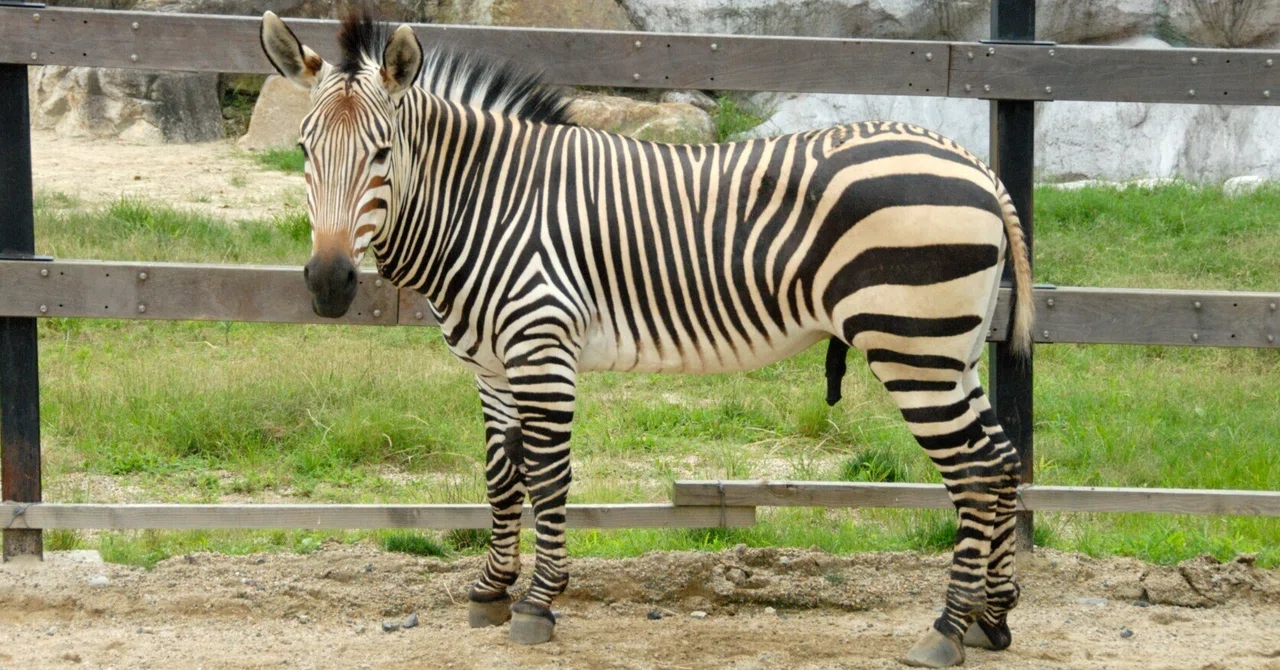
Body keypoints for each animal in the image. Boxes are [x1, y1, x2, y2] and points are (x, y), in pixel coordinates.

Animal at [260, 9, 1034, 668]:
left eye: (382, 152)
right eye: (302, 149)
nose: (328, 284)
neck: (485, 205)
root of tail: (975, 164)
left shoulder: (542, 348)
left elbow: (548, 475)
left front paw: (538, 604)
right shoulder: (492, 366)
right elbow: (502, 476)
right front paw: (490, 590)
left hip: (914, 346)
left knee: (973, 470)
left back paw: (946, 630)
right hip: (952, 348)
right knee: (1000, 460)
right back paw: (993, 618)